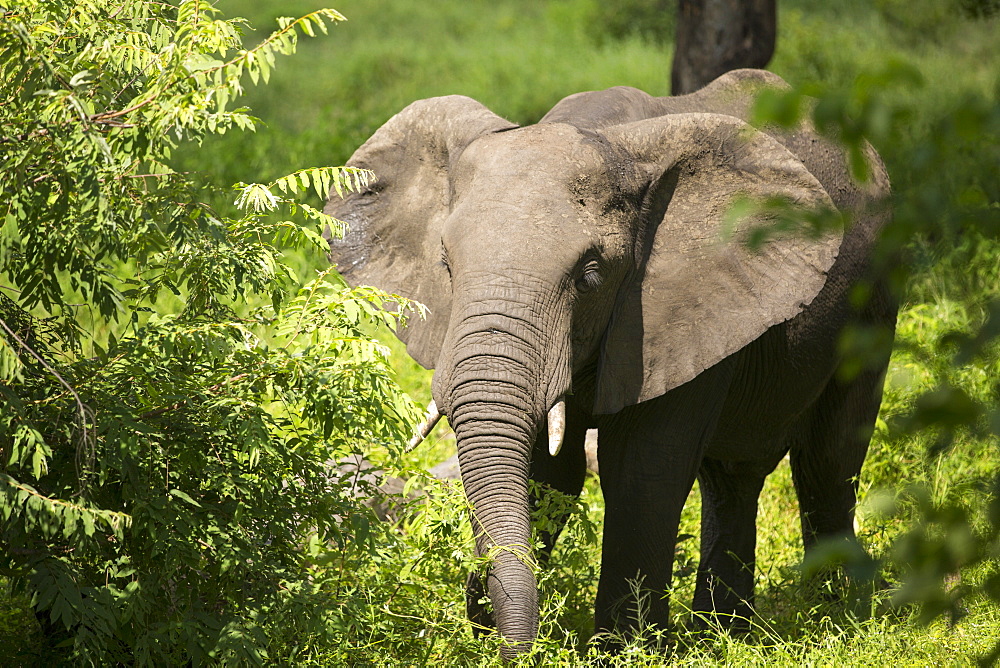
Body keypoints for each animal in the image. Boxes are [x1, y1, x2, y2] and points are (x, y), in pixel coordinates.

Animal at [324, 69, 896, 656]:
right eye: (446, 265)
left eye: (590, 275)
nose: (496, 638)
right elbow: (548, 471)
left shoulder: (678, 307)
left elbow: (641, 469)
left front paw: (626, 651)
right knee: (733, 477)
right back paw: (727, 636)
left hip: (877, 290)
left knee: (828, 459)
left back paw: (835, 615)